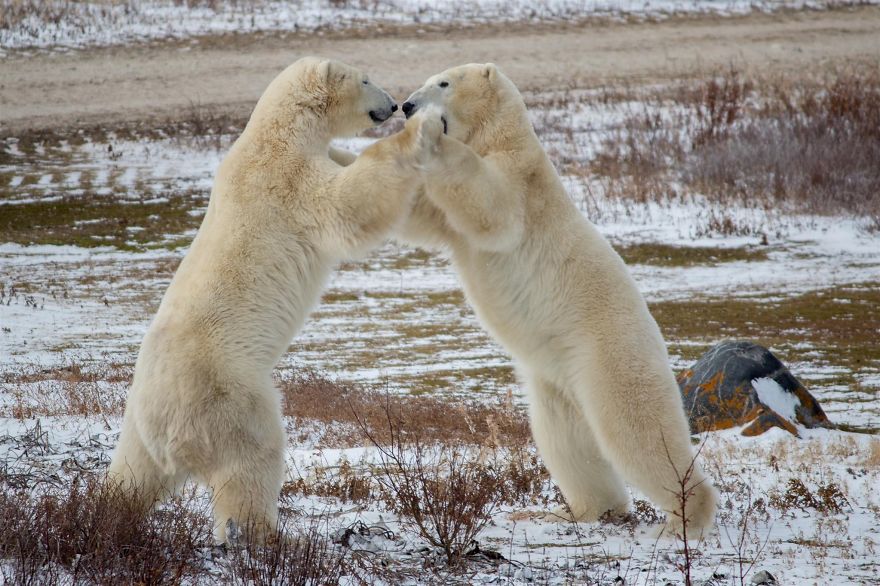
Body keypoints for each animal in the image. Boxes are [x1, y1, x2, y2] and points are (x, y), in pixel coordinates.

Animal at [107, 57, 443, 543]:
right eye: (365, 79)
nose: (395, 104)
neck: (278, 132)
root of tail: (165, 430)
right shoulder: (287, 182)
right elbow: (348, 204)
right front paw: (423, 129)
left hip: (138, 420)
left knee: (130, 474)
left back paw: (105, 512)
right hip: (227, 393)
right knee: (252, 458)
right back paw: (262, 534)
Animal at [396, 64, 717, 535]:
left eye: (443, 82)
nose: (406, 105)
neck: (500, 136)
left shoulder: (520, 179)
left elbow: (491, 207)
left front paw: (430, 134)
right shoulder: (451, 214)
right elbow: (416, 210)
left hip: (609, 355)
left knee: (635, 431)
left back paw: (682, 520)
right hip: (557, 380)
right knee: (566, 441)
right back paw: (570, 510)